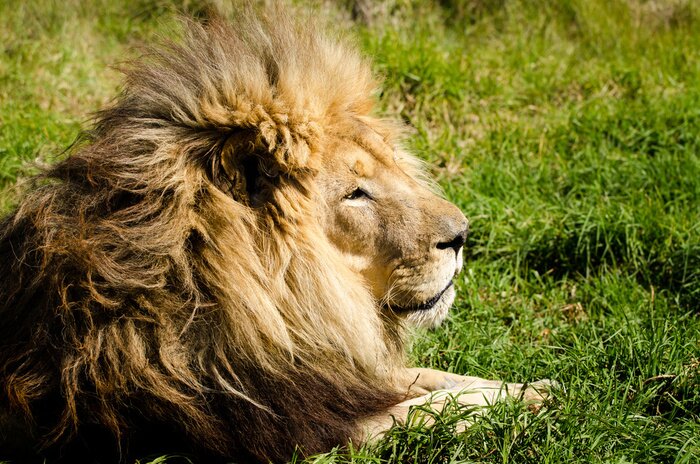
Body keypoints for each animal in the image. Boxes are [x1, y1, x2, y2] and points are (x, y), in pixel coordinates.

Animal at [0, 8, 553, 464]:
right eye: (356, 194)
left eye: (391, 166)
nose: (461, 235)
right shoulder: (295, 429)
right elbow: (433, 408)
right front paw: (527, 400)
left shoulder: (323, 369)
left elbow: (439, 379)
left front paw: (538, 385)